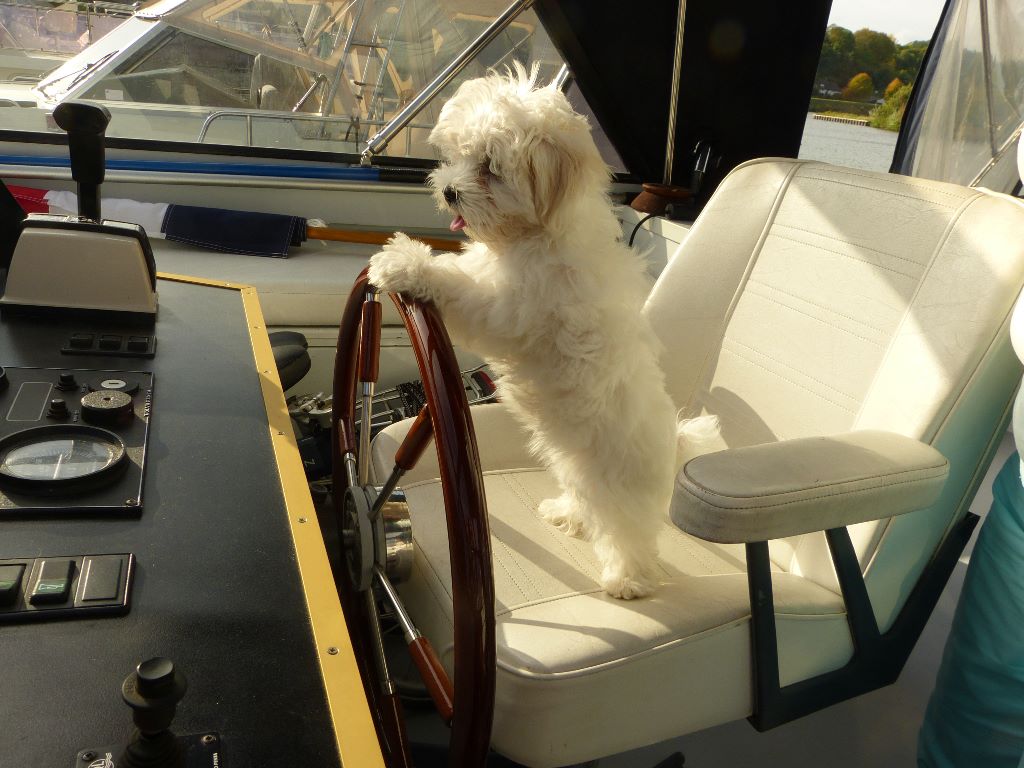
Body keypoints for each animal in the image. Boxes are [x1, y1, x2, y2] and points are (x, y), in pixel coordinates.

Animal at [368, 67, 679, 602]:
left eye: (490, 167)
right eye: (457, 156)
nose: (448, 190)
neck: (537, 233)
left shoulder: (509, 306)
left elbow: (458, 285)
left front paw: (404, 263)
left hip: (617, 488)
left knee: (627, 536)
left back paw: (627, 580)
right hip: (573, 463)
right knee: (584, 501)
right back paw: (566, 515)